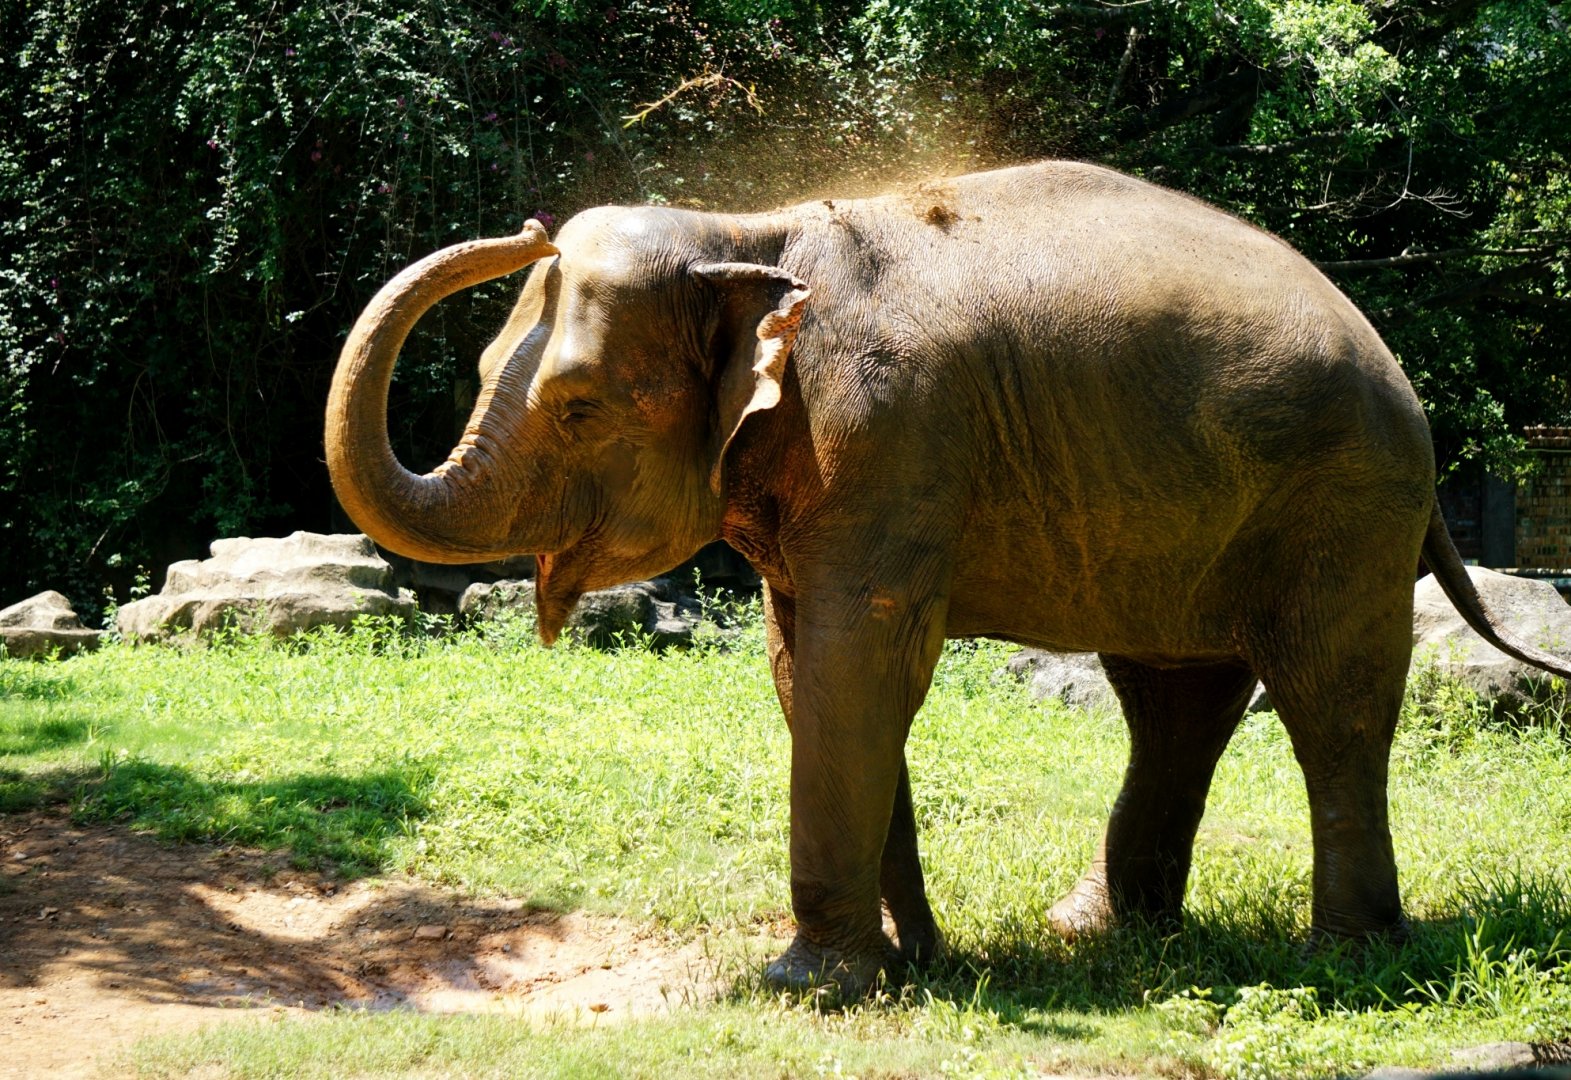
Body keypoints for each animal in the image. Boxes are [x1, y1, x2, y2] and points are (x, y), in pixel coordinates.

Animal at [325, 161, 1571, 995]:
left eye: (578, 406)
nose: (524, 224)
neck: (748, 224)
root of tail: (1400, 382)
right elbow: (805, 674)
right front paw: (911, 963)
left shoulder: (894, 435)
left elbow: (858, 660)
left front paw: (809, 985)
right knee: (1174, 700)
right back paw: (1101, 935)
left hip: (1341, 502)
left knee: (1328, 703)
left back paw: (1346, 957)